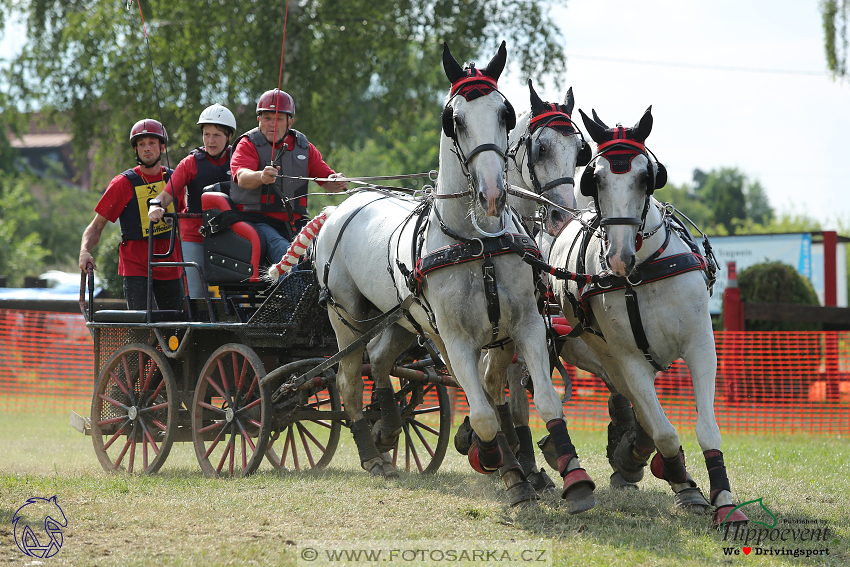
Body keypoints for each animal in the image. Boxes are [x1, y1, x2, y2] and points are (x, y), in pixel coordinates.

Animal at [310, 40, 588, 510]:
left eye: (504, 114)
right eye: (454, 119)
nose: (492, 194)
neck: (479, 242)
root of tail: (339, 208)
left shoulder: (525, 327)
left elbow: (537, 401)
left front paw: (564, 474)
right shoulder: (458, 339)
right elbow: (483, 410)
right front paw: (502, 466)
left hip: (403, 319)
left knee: (381, 360)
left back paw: (388, 428)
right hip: (348, 319)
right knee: (348, 381)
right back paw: (373, 456)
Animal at [544, 106, 748, 528]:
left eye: (645, 176)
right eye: (595, 178)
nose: (620, 256)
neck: (643, 274)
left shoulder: (701, 346)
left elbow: (707, 429)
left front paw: (722, 498)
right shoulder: (629, 361)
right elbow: (665, 433)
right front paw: (667, 469)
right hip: (603, 355)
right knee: (642, 413)